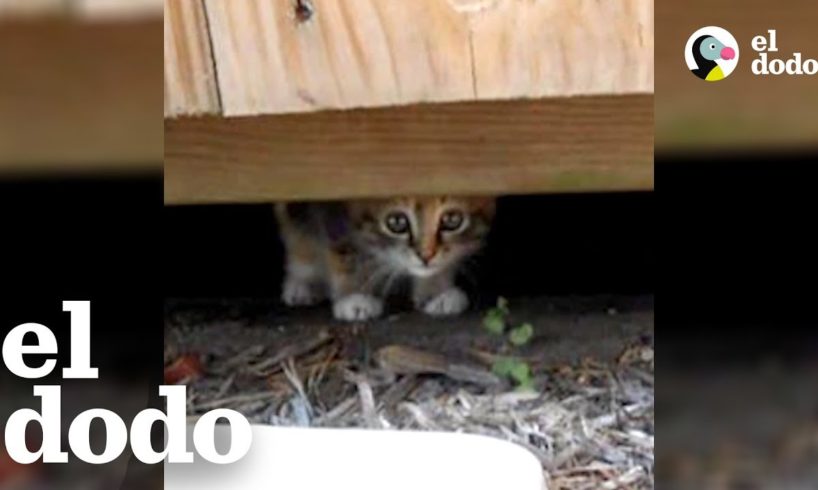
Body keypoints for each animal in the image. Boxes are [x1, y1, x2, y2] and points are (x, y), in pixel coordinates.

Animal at [274, 195, 494, 322]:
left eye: (452, 219)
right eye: (396, 222)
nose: (426, 256)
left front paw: (436, 292)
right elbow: (345, 247)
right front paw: (356, 296)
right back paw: (303, 284)